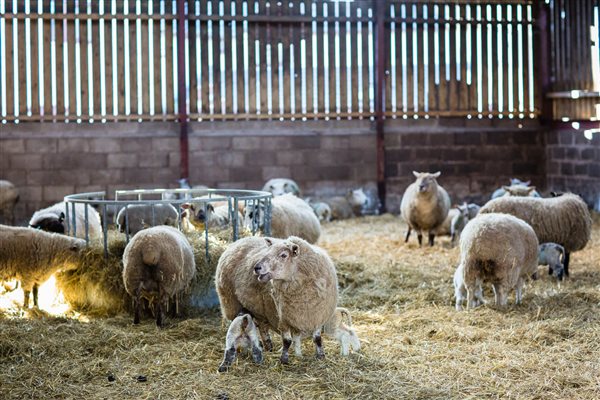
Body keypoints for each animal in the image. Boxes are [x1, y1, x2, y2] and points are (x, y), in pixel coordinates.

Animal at [214, 236, 338, 364]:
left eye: (284, 255)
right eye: (268, 251)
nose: (256, 268)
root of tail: (240, 240)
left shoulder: (318, 317)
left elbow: (317, 338)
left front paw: (321, 355)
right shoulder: (283, 318)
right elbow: (287, 341)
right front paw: (284, 360)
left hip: (260, 311)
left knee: (262, 327)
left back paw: (268, 346)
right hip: (230, 303)